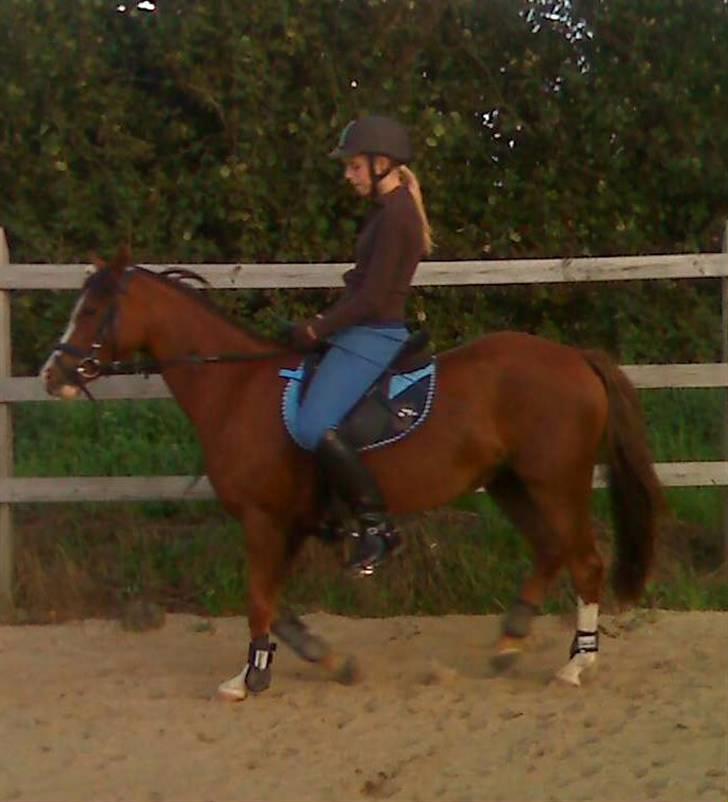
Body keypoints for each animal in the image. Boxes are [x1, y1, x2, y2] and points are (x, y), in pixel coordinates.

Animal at [41, 247, 664, 698]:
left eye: (92, 311)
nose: (53, 374)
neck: (236, 389)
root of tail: (576, 357)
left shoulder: (263, 520)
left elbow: (258, 598)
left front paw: (250, 678)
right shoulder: (287, 523)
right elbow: (275, 601)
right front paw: (325, 660)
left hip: (556, 482)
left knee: (585, 561)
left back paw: (575, 666)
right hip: (509, 483)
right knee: (550, 550)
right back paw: (510, 642)